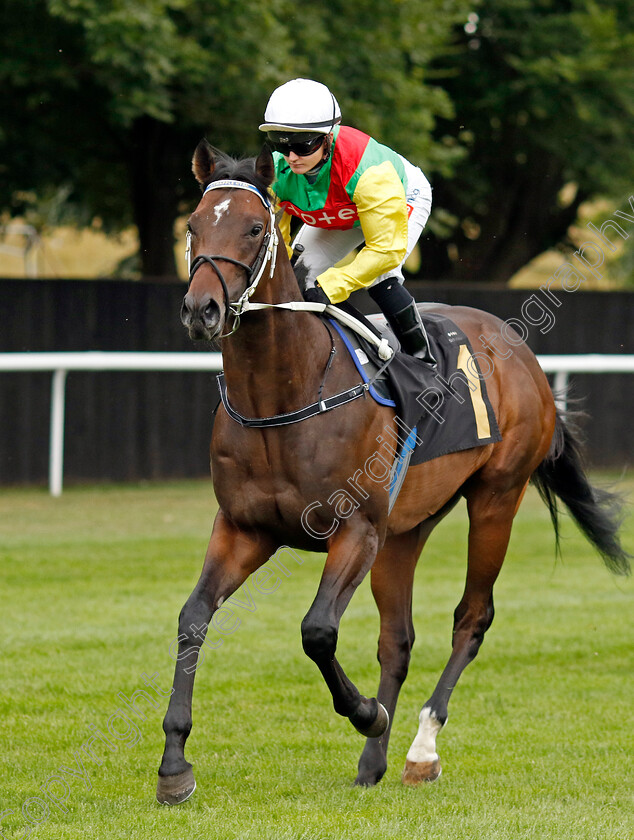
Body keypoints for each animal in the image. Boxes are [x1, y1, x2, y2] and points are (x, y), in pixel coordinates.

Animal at [157, 141, 628, 804]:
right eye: (194, 226)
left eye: (253, 228)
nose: (202, 310)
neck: (283, 396)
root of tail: (520, 351)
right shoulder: (245, 529)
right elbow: (193, 619)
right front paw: (174, 764)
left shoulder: (356, 529)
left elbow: (317, 630)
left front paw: (367, 714)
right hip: (406, 529)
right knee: (397, 639)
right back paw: (372, 763)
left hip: (495, 497)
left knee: (472, 618)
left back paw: (420, 748)